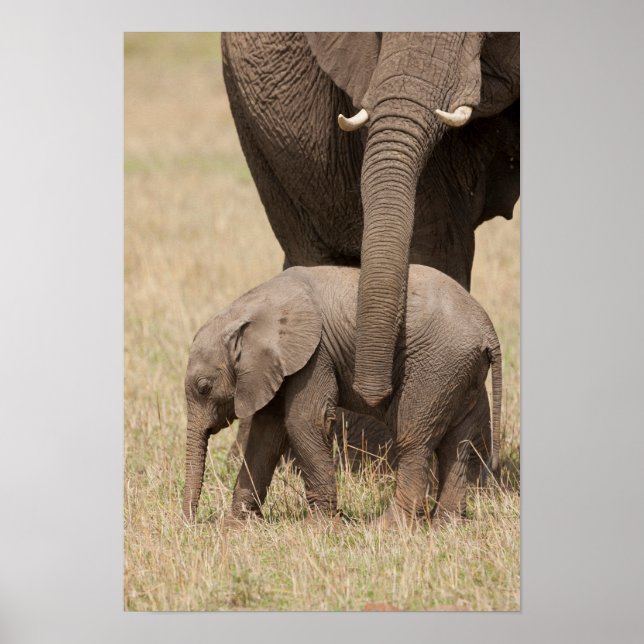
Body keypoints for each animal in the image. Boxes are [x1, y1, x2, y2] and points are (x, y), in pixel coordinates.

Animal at [182, 264, 502, 527]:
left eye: (204, 387)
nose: (193, 524)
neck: (248, 309)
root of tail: (488, 330)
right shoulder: (274, 367)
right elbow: (266, 434)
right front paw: (235, 527)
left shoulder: (315, 354)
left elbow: (304, 422)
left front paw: (317, 528)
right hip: (462, 374)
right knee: (458, 444)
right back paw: (446, 526)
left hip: (437, 369)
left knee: (414, 439)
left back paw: (388, 528)